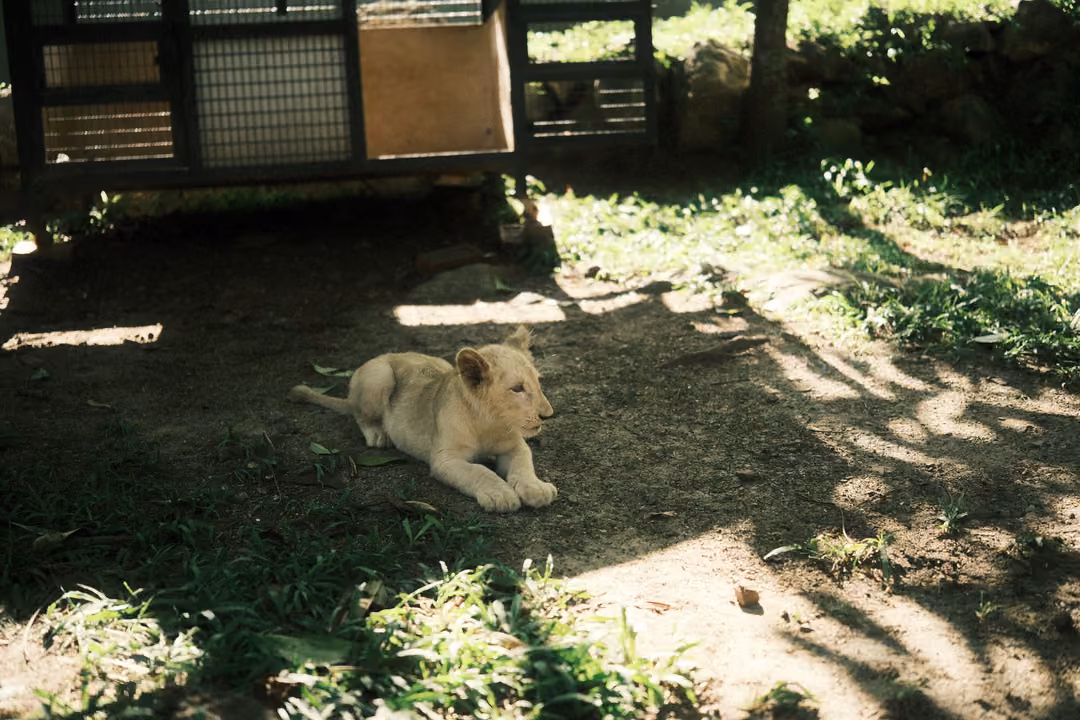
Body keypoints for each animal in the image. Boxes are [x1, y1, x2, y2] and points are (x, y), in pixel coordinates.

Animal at [288, 326, 557, 512]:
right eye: (517, 388)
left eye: (538, 382)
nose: (548, 414)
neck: (489, 423)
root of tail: (386, 355)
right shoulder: (445, 459)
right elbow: (478, 471)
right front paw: (500, 495)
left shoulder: (515, 446)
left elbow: (523, 464)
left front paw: (536, 489)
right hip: (379, 377)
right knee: (358, 412)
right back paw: (378, 434)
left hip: (442, 363)